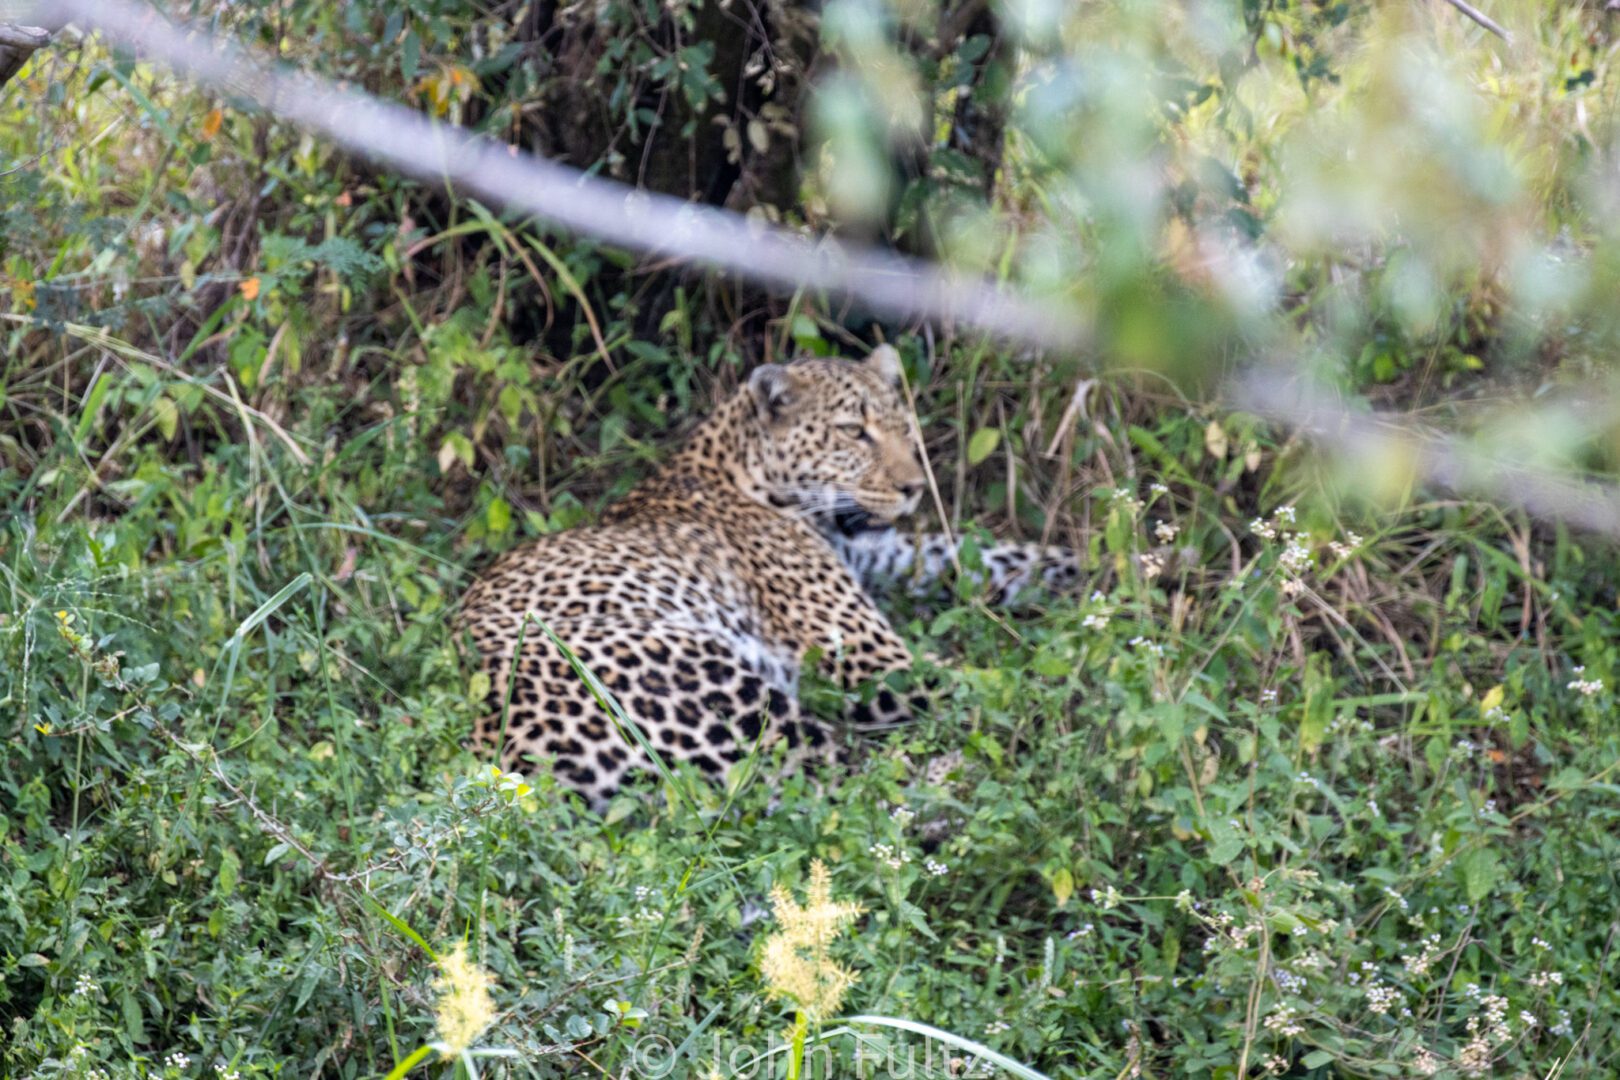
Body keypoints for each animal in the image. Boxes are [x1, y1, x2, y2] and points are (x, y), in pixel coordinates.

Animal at [456, 344, 1082, 803]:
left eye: (905, 427)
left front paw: (1089, 570)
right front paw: (1070, 691)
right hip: (714, 684)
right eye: (853, 431)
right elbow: (990, 683)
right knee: (853, 786)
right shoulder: (869, 659)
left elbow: (986, 555)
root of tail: (499, 753)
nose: (914, 488)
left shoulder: (887, 556)